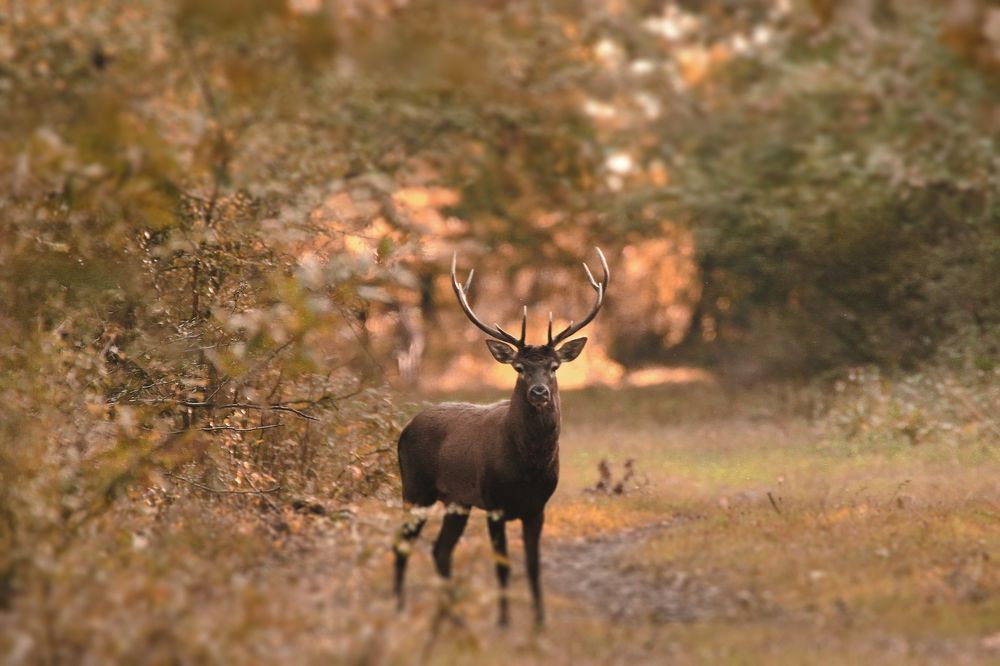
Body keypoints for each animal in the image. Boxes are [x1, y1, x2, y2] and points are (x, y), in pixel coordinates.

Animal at [393, 247, 610, 628]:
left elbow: (534, 568)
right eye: (519, 368)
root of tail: (405, 429)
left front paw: (539, 623)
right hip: (415, 487)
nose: (539, 392)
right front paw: (505, 622)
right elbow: (503, 568)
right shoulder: (493, 503)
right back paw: (399, 607)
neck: (528, 469)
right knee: (403, 542)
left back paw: (454, 617)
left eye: (554, 367)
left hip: (457, 500)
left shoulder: (537, 508)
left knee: (440, 549)